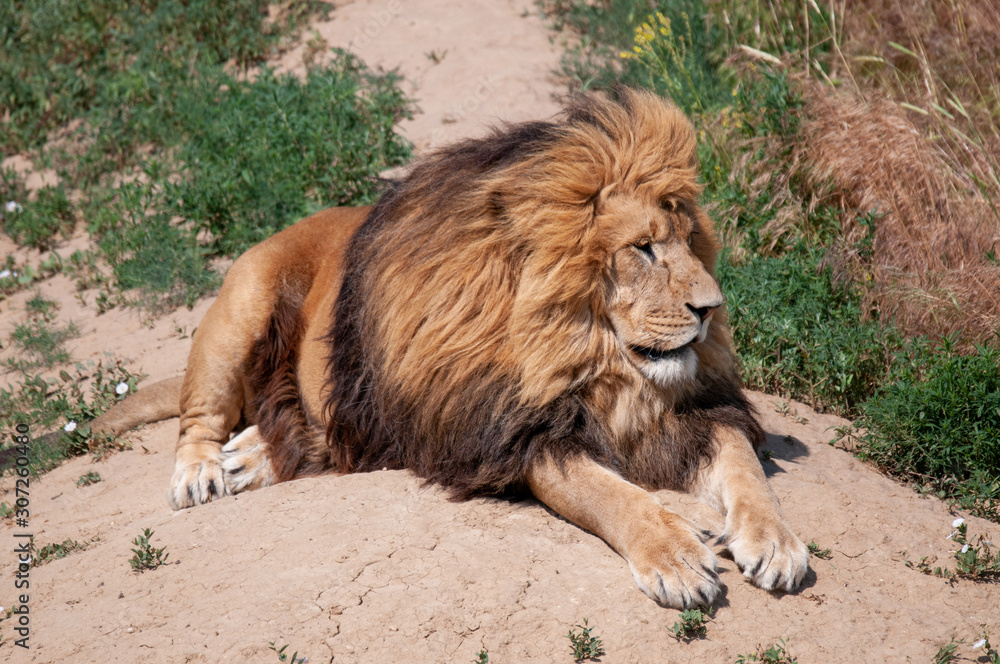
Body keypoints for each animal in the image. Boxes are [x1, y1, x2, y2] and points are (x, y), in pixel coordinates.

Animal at [91, 88, 809, 609]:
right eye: (643, 248)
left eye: (689, 242)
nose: (712, 308)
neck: (593, 359)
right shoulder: (512, 431)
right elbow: (609, 495)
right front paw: (675, 555)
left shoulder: (692, 413)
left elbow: (743, 460)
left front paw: (776, 541)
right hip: (239, 308)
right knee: (199, 418)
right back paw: (205, 471)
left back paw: (250, 459)